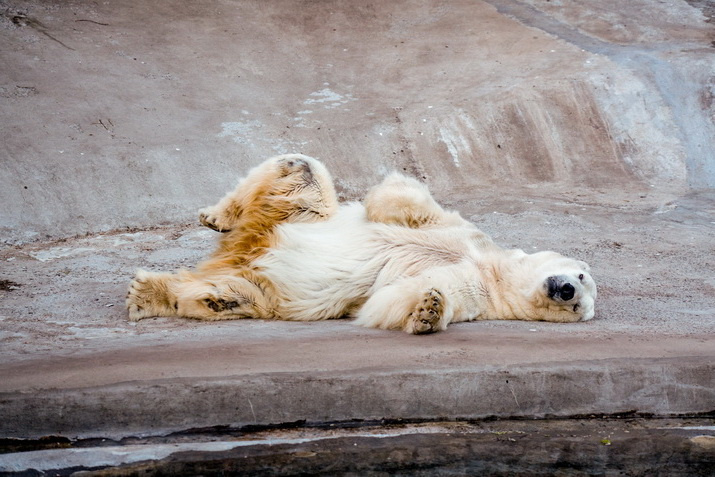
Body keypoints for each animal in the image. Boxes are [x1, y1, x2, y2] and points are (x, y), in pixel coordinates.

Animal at [126, 154, 596, 332]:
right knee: (299, 170)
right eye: (581, 275)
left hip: (268, 287)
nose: (566, 290)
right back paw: (218, 216)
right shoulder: (466, 234)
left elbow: (393, 299)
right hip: (297, 216)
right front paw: (386, 208)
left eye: (579, 307)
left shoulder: (474, 291)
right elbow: (405, 200)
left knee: (234, 292)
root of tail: (244, 250)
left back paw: (152, 294)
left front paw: (429, 311)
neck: (491, 268)